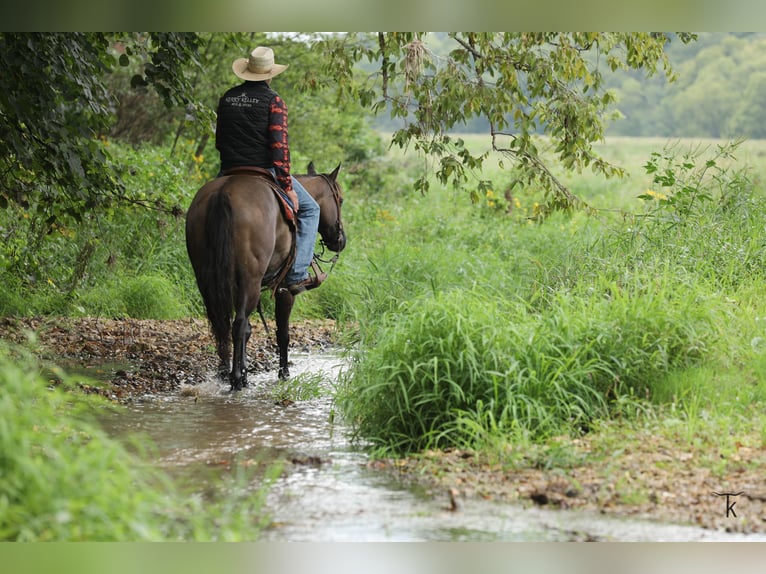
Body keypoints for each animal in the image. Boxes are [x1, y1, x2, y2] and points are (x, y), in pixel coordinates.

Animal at [185, 162, 346, 391]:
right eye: (340, 200)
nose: (341, 240)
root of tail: (223, 193)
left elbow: (249, 329)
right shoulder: (284, 290)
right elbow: (282, 333)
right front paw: (284, 373)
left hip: (206, 280)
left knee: (222, 325)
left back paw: (226, 373)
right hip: (250, 280)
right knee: (238, 325)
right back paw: (236, 380)